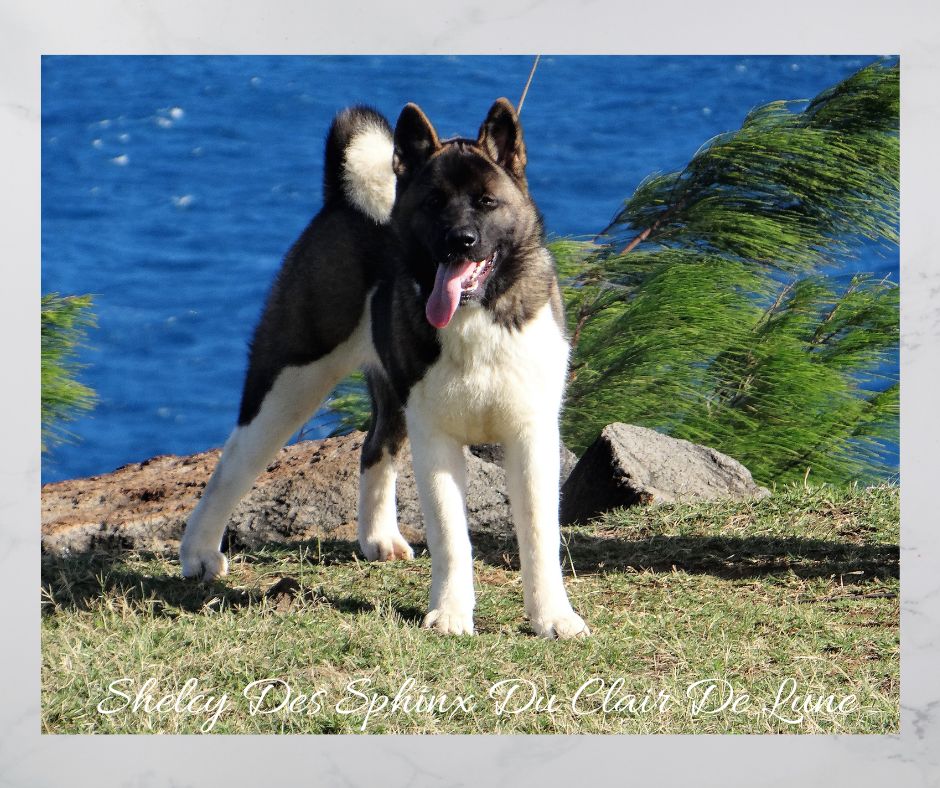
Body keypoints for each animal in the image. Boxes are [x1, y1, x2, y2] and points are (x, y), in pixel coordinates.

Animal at [178, 98, 588, 640]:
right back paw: (199, 552)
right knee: (235, 461)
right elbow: (452, 535)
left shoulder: (531, 433)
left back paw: (378, 537)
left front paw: (553, 617)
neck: (477, 310)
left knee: (375, 448)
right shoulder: (436, 439)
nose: (460, 240)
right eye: (434, 202)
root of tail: (342, 203)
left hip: (389, 393)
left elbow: (540, 532)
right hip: (291, 380)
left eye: (486, 201)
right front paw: (451, 613)